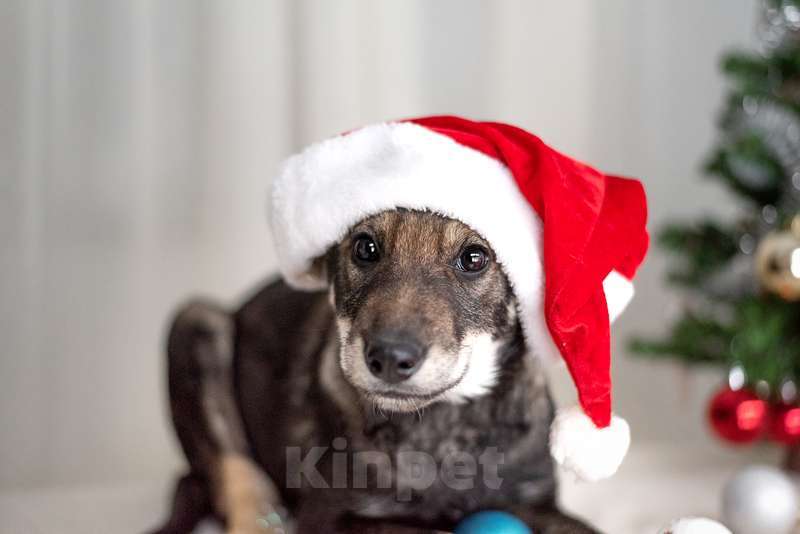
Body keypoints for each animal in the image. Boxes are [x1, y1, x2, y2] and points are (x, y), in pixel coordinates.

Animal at [152, 209, 600, 534]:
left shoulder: (533, 497)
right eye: (365, 248)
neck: (443, 424)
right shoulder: (330, 516)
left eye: (474, 258)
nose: (388, 358)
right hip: (195, 324)